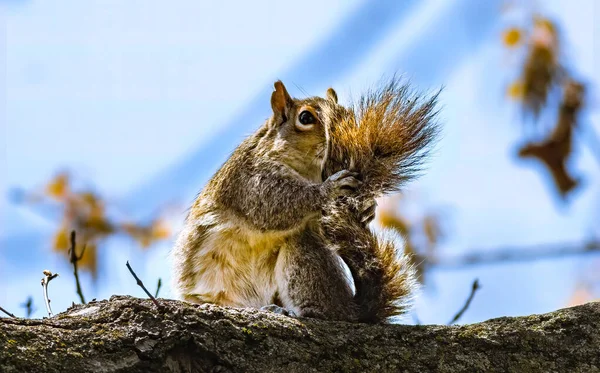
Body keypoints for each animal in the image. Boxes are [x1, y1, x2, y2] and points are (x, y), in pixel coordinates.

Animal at [171, 78, 438, 322]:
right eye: (306, 118)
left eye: (347, 114)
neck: (309, 170)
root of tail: (354, 312)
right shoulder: (249, 180)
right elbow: (273, 203)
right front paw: (329, 189)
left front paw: (367, 208)